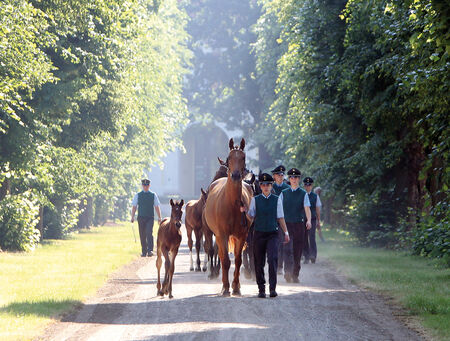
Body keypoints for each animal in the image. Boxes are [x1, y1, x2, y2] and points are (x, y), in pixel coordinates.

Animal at [204, 138, 253, 294]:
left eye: (243, 157)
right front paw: (225, 287)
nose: (236, 175)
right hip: (218, 235)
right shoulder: (222, 234)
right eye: (230, 157)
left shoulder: (242, 235)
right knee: (220, 255)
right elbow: (225, 260)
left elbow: (238, 260)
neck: (232, 204)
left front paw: (236, 286)